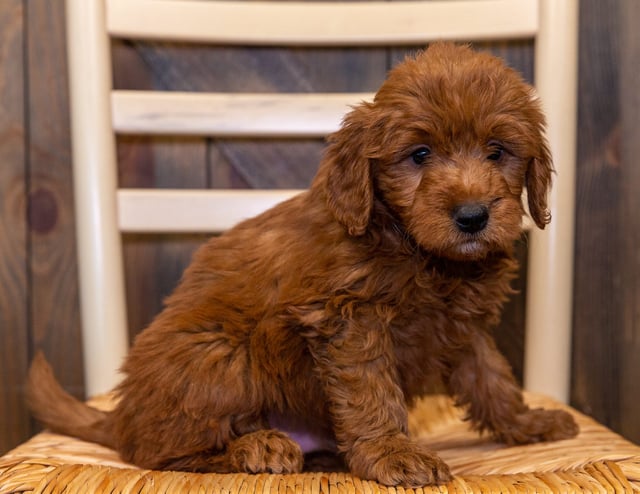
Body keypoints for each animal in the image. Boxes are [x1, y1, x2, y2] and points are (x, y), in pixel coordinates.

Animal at [26, 43, 580, 490]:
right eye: (420, 154)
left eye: (497, 151)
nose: (472, 216)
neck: (414, 247)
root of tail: (120, 415)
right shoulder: (349, 318)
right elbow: (372, 392)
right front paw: (392, 453)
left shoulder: (463, 327)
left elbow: (493, 379)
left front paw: (528, 423)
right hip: (219, 356)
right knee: (160, 453)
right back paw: (255, 447)